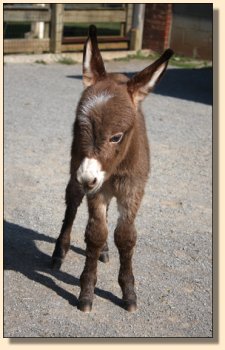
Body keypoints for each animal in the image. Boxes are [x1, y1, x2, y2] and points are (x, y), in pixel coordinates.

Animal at [51, 26, 174, 314]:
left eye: (116, 137)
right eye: (79, 127)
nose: (87, 177)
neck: (115, 168)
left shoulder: (133, 189)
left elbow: (125, 236)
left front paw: (128, 293)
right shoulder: (96, 187)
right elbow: (95, 234)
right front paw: (86, 293)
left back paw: (105, 251)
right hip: (75, 171)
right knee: (72, 204)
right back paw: (59, 252)